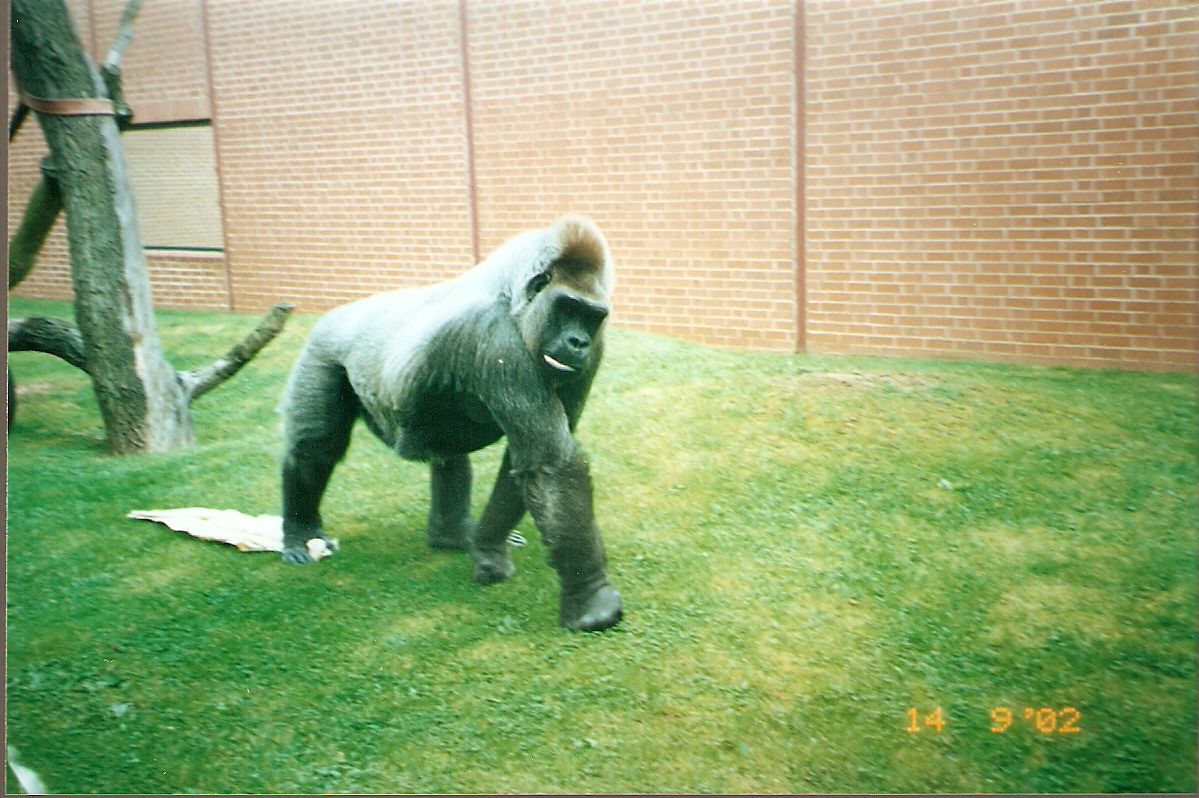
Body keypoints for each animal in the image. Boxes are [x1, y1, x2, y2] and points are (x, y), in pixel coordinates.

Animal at [278, 215, 622, 632]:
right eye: (568, 307)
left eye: (592, 317)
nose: (578, 342)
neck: (514, 296)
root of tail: (336, 312)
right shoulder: (495, 335)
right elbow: (550, 462)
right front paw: (592, 600)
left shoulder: (595, 350)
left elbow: (528, 462)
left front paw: (487, 549)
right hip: (323, 347)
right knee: (315, 448)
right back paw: (300, 532)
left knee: (447, 454)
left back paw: (453, 535)